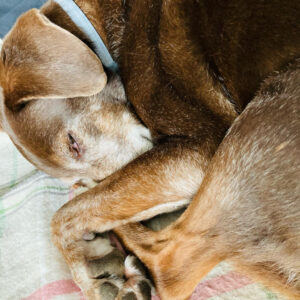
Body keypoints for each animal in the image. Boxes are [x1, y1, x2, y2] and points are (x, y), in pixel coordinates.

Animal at [0, 0, 298, 300]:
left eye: (73, 143)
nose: (84, 182)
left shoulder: (197, 151)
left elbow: (65, 215)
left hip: (265, 116)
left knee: (167, 270)